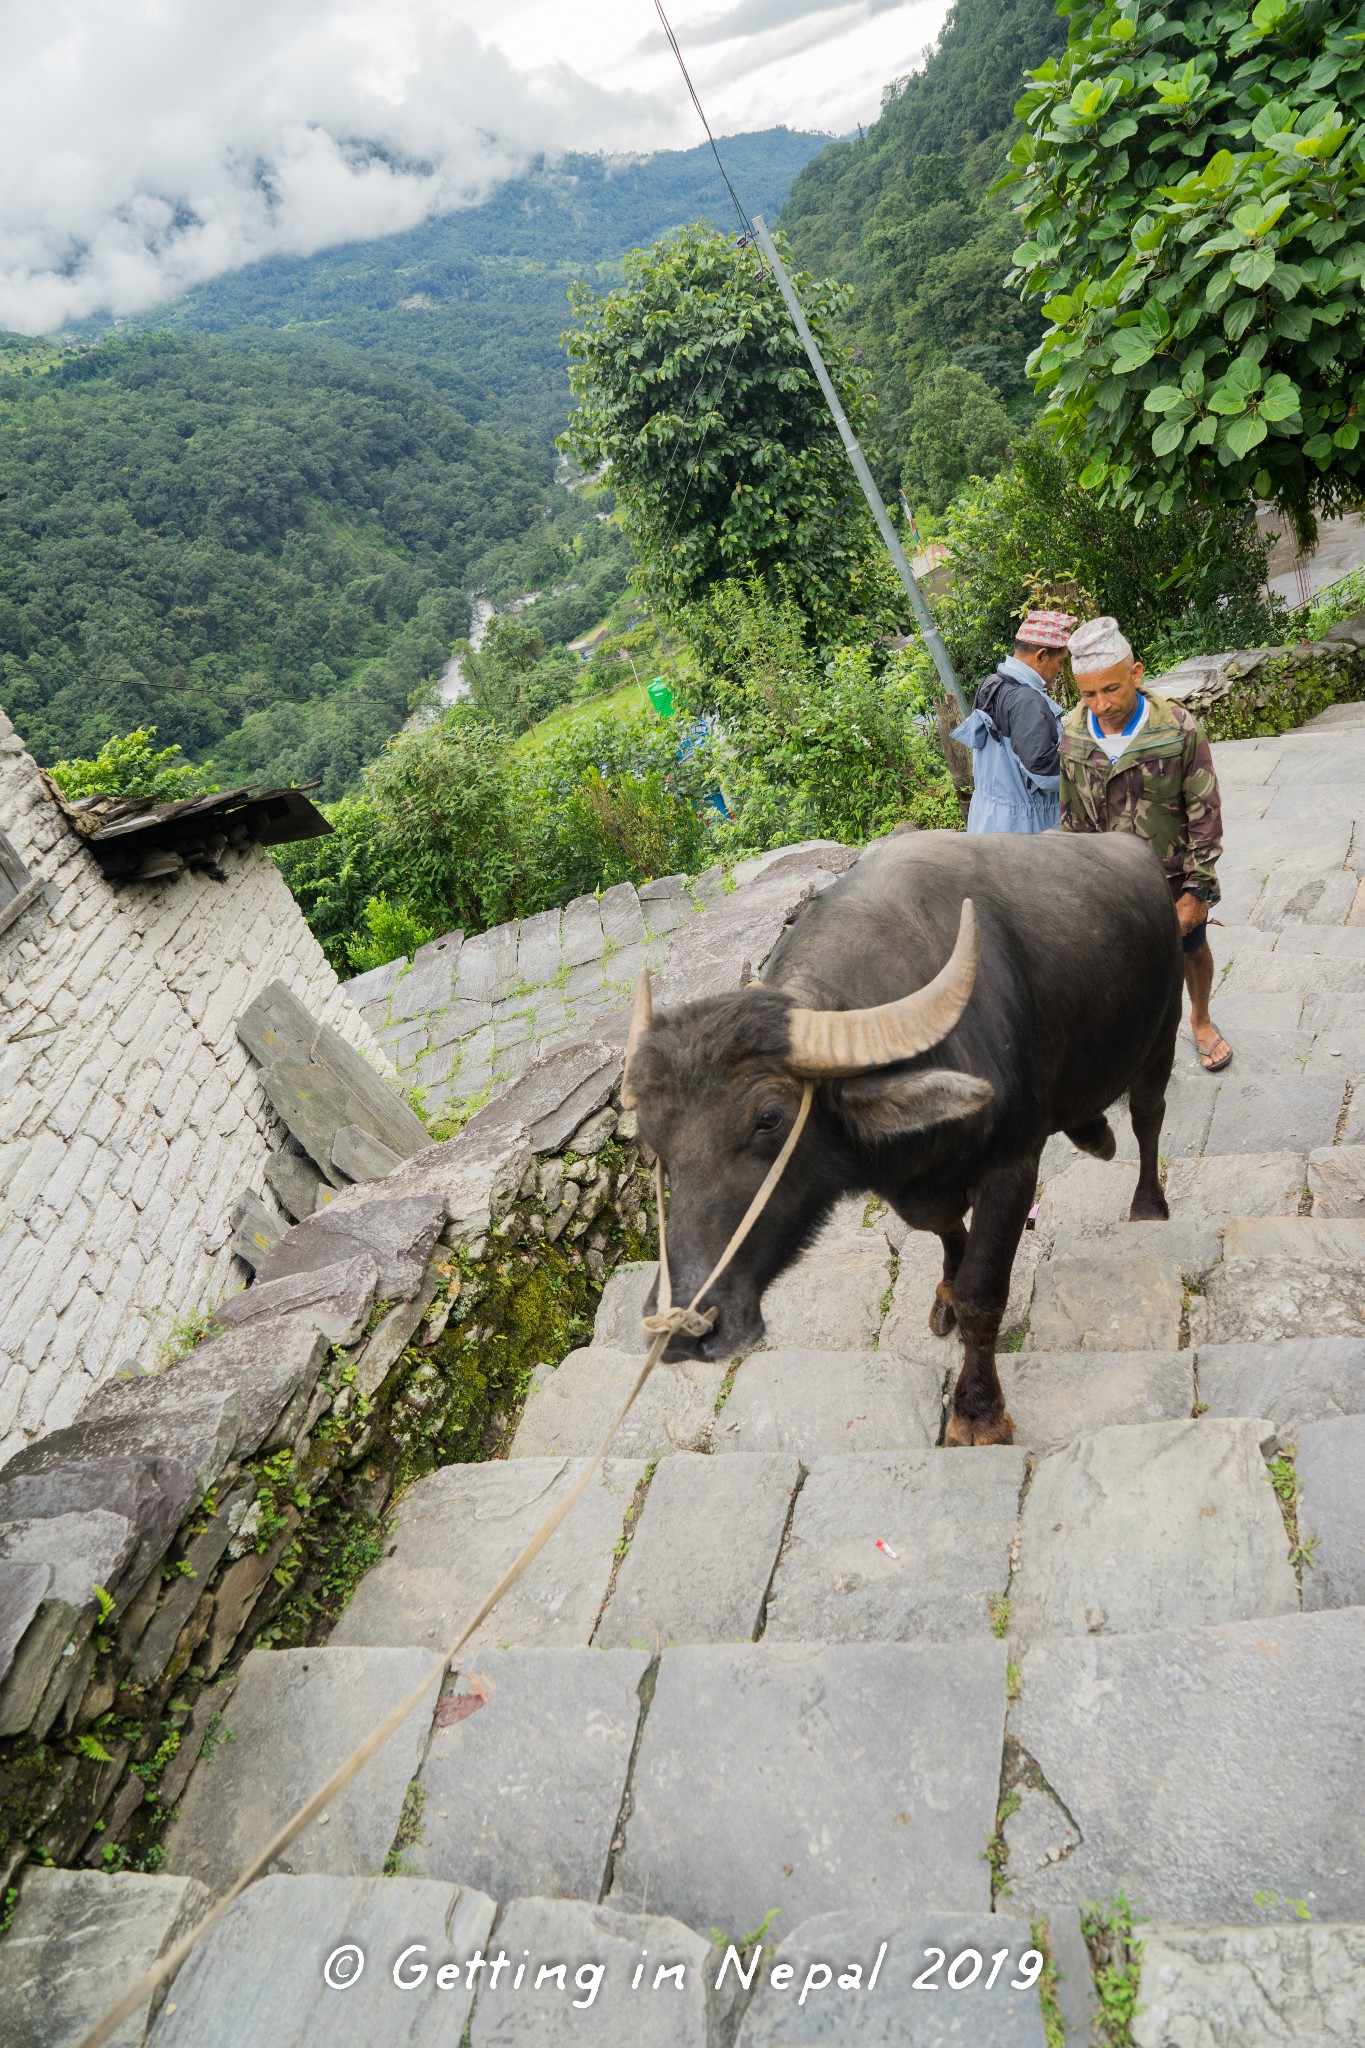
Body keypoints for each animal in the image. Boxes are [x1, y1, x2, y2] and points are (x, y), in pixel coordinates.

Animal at [626, 827, 1178, 1441]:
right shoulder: (911, 1187)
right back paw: (1093, 1133)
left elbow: (983, 1293)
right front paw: (945, 1292)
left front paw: (978, 1412)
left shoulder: (1012, 1170)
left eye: (770, 1117)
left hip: (1164, 1034)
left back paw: (1148, 1205)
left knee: (1148, 1116)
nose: (681, 1330)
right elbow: (943, 1231)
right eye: (653, 1140)